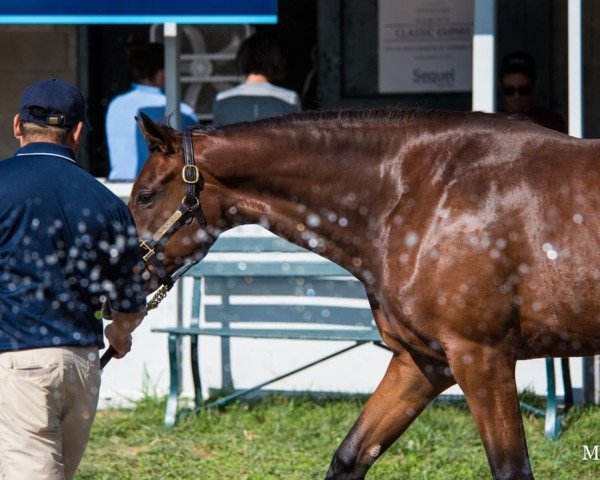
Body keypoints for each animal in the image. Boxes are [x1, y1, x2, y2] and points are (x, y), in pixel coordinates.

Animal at [129, 109, 596, 480]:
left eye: (145, 196)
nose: (122, 277)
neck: (423, 194)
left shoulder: (482, 358)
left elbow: (511, 470)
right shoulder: (423, 361)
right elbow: (349, 458)